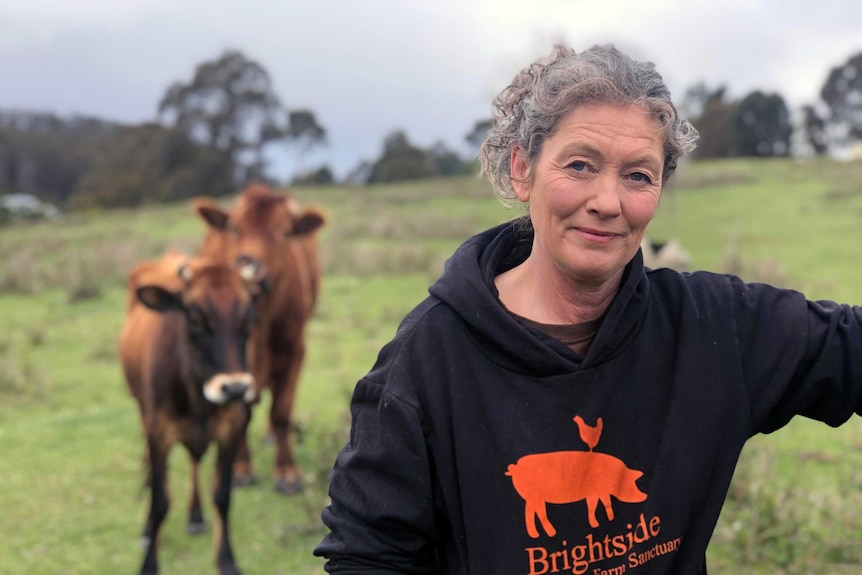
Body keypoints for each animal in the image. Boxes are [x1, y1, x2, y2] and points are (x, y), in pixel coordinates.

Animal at [120, 252, 260, 575]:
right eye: (195, 320)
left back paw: (195, 515)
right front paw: (149, 564)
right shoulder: (157, 432)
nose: (235, 388)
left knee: (195, 461)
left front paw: (227, 560)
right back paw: (147, 530)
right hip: (141, 411)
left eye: (247, 318)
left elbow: (222, 495)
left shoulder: (232, 427)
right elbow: (160, 500)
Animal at [196, 186, 328, 496]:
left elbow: (281, 411)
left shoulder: (294, 351)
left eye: (283, 232)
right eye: (234, 228)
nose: (249, 265)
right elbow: (240, 410)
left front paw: (287, 472)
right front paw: (241, 468)